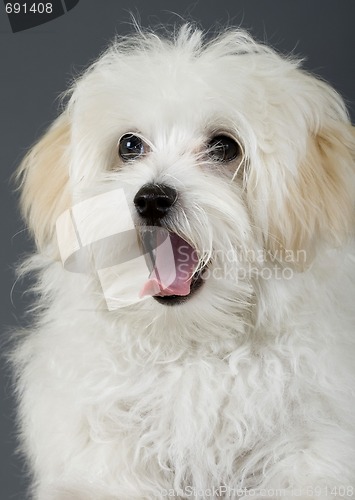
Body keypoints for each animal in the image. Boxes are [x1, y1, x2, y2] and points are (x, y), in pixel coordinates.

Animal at [13, 25, 355, 500]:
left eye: (224, 147)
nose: (152, 198)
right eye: (129, 145)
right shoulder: (103, 455)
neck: (190, 349)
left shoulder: (311, 451)